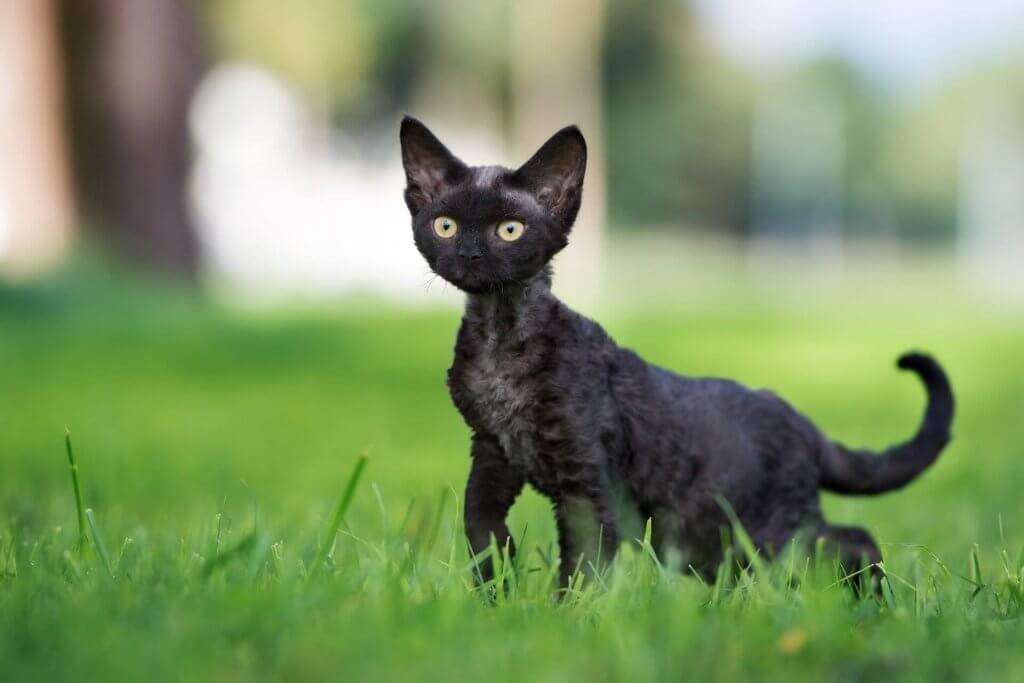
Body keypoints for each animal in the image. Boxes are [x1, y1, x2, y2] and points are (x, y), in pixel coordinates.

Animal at [397, 114, 950, 589]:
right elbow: (478, 525)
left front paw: (563, 617)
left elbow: (584, 564)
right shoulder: (491, 452)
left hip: (770, 529)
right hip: (706, 538)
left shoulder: (586, 479)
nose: (470, 254)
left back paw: (872, 602)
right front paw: (497, 587)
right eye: (445, 225)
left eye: (509, 230)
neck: (500, 340)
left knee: (851, 540)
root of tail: (802, 423)